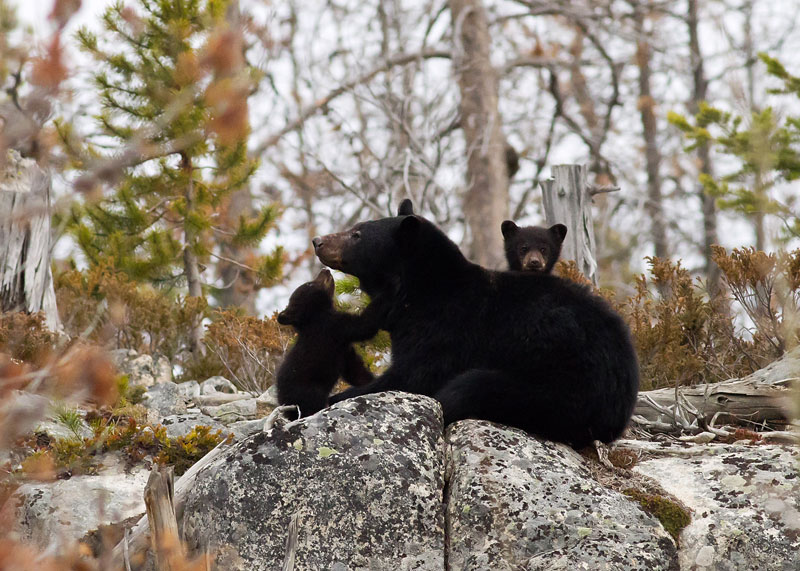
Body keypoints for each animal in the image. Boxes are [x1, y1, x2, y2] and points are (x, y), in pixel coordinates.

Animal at [276, 268, 376, 420]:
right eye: (310, 283)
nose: (325, 269)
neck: (315, 317)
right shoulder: (333, 327)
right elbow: (363, 326)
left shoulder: (343, 349)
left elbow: (354, 369)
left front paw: (370, 381)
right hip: (311, 389)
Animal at [312, 201, 636, 446]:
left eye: (357, 233)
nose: (318, 241)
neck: (420, 289)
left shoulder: (445, 328)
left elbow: (412, 376)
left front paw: (329, 398)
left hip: (561, 382)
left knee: (470, 388)